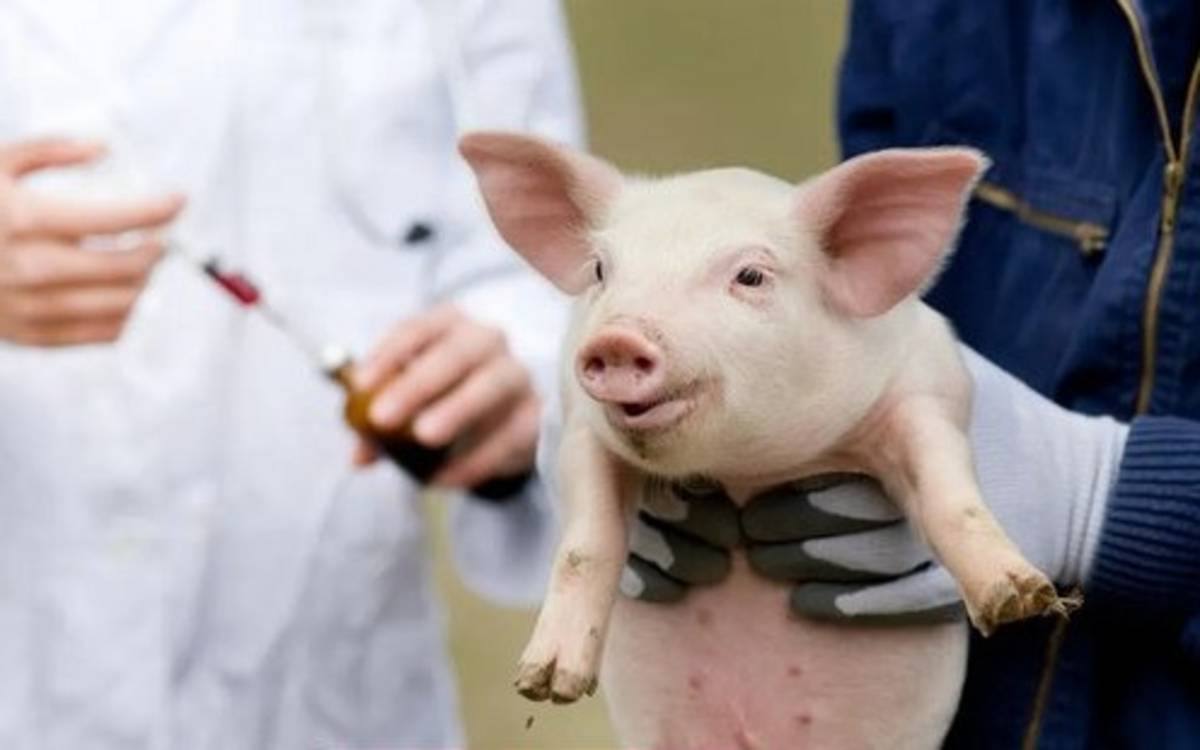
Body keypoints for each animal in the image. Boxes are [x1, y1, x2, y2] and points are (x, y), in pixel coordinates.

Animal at [458, 132, 1070, 749]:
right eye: (603, 270)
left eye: (750, 276)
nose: (618, 338)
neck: (745, 472)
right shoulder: (582, 429)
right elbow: (585, 545)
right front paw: (543, 682)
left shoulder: (930, 391)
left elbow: (953, 500)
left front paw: (1020, 599)